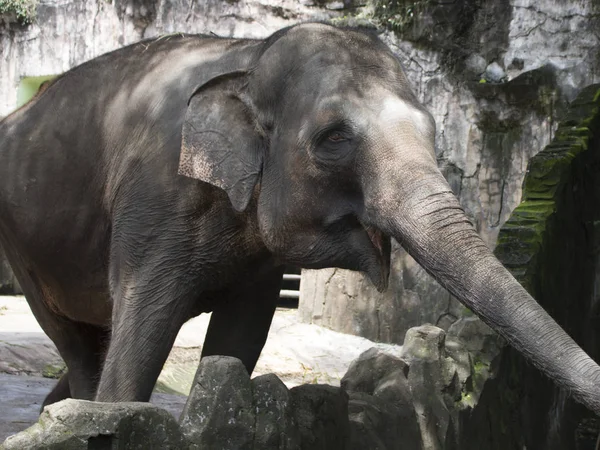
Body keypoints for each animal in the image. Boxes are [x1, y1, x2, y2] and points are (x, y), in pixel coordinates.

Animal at [1, 22, 600, 414]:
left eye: (433, 131)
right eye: (334, 138)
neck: (249, 57)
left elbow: (240, 339)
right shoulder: (158, 199)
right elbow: (142, 330)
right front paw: (116, 413)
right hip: (22, 245)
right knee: (75, 340)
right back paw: (77, 407)